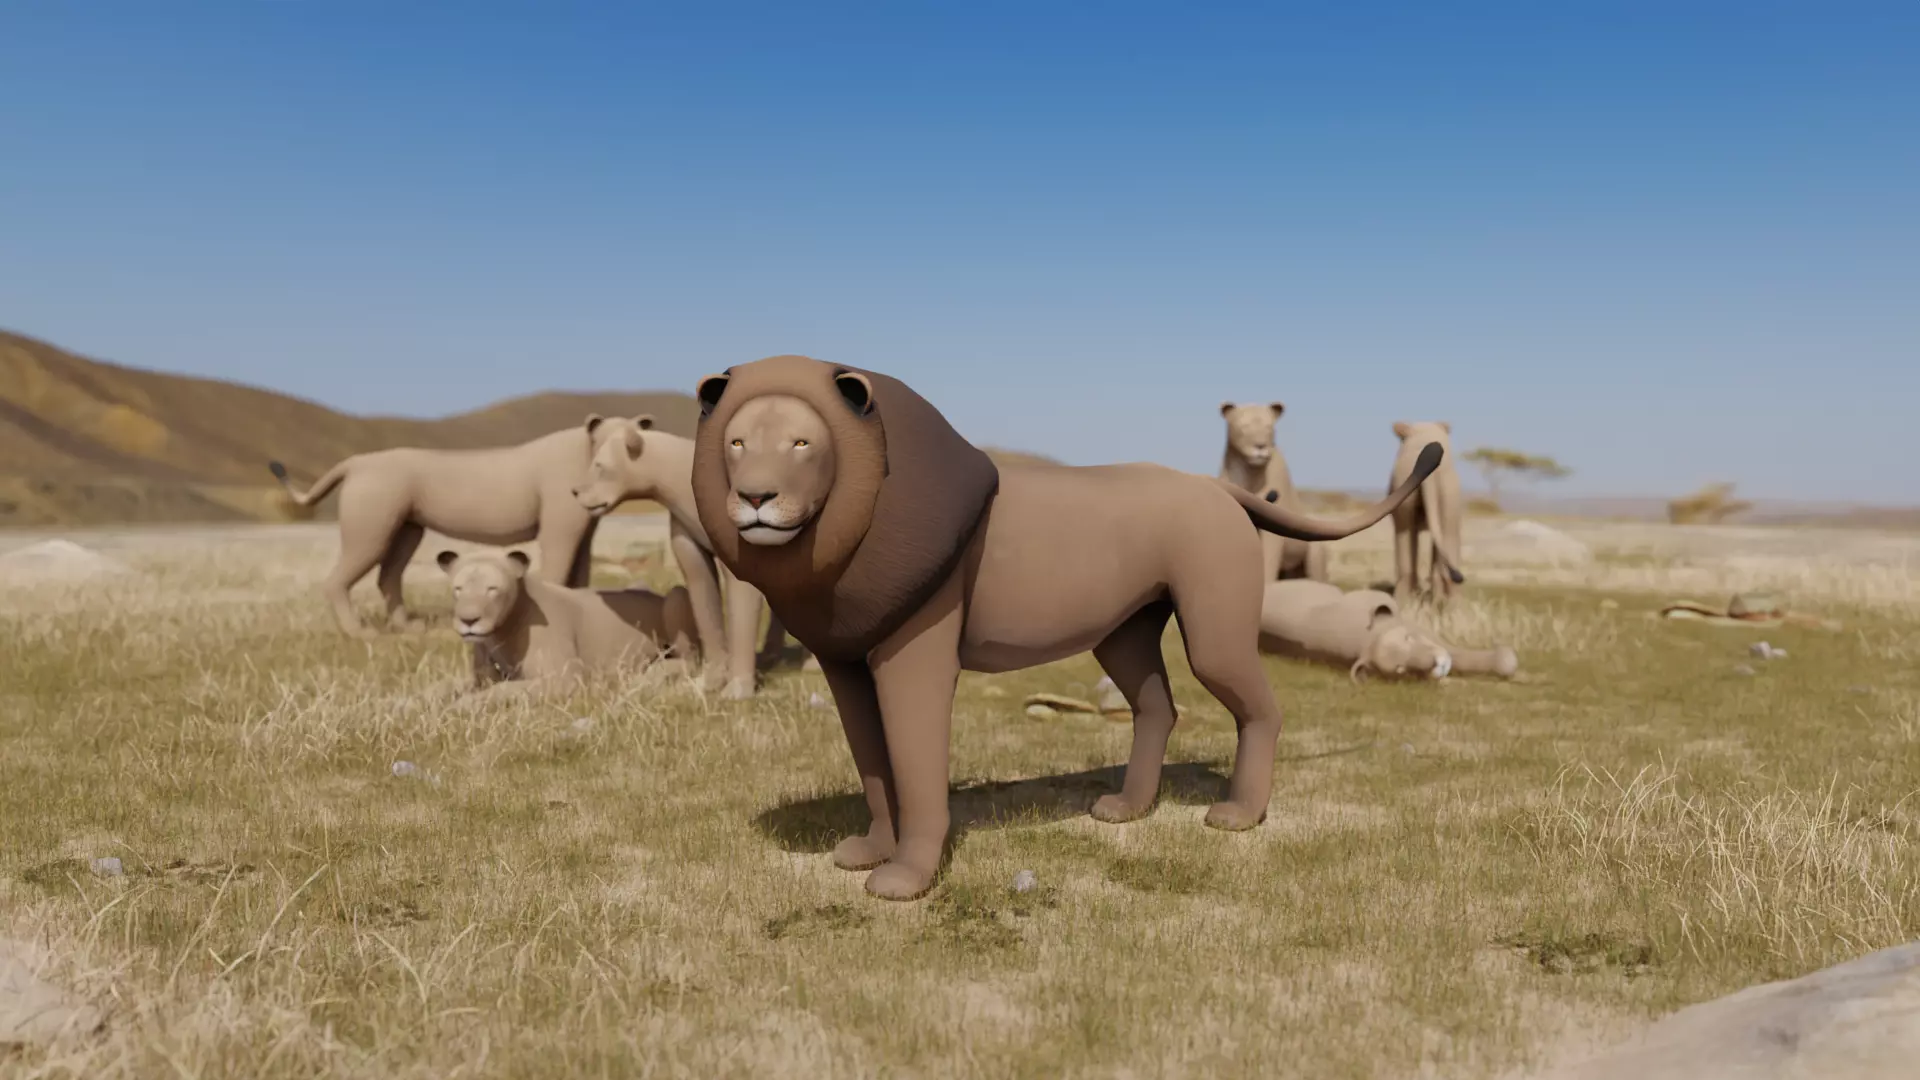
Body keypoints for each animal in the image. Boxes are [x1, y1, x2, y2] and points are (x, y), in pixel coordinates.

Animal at [269, 426, 600, 639]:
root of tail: (357, 462)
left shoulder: (582, 529)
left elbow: (580, 572)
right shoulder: (560, 525)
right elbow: (559, 570)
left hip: (406, 527)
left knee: (389, 573)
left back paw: (408, 628)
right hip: (373, 520)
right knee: (342, 577)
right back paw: (360, 632)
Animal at [434, 548, 699, 702]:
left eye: (493, 589)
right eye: (458, 589)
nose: (469, 620)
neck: (500, 634)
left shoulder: (566, 680)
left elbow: (500, 691)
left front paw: (460, 707)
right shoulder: (482, 677)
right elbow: (444, 685)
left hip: (677, 596)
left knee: (690, 659)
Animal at [570, 414, 794, 699]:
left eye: (600, 466)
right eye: (593, 459)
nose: (576, 491)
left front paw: (737, 690)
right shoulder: (688, 540)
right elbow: (702, 597)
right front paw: (709, 681)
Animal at [1218, 401, 1329, 583]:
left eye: (1269, 427)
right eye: (1243, 426)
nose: (1260, 446)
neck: (1250, 474)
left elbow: (1268, 562)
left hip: (1315, 557)